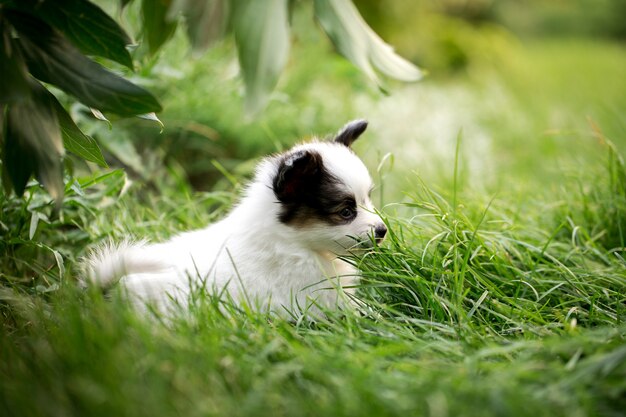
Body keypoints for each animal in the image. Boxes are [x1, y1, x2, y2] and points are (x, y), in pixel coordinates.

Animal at [83, 119, 386, 316]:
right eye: (346, 212)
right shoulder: (324, 299)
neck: (290, 242)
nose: (382, 230)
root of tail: (106, 290)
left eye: (369, 199)